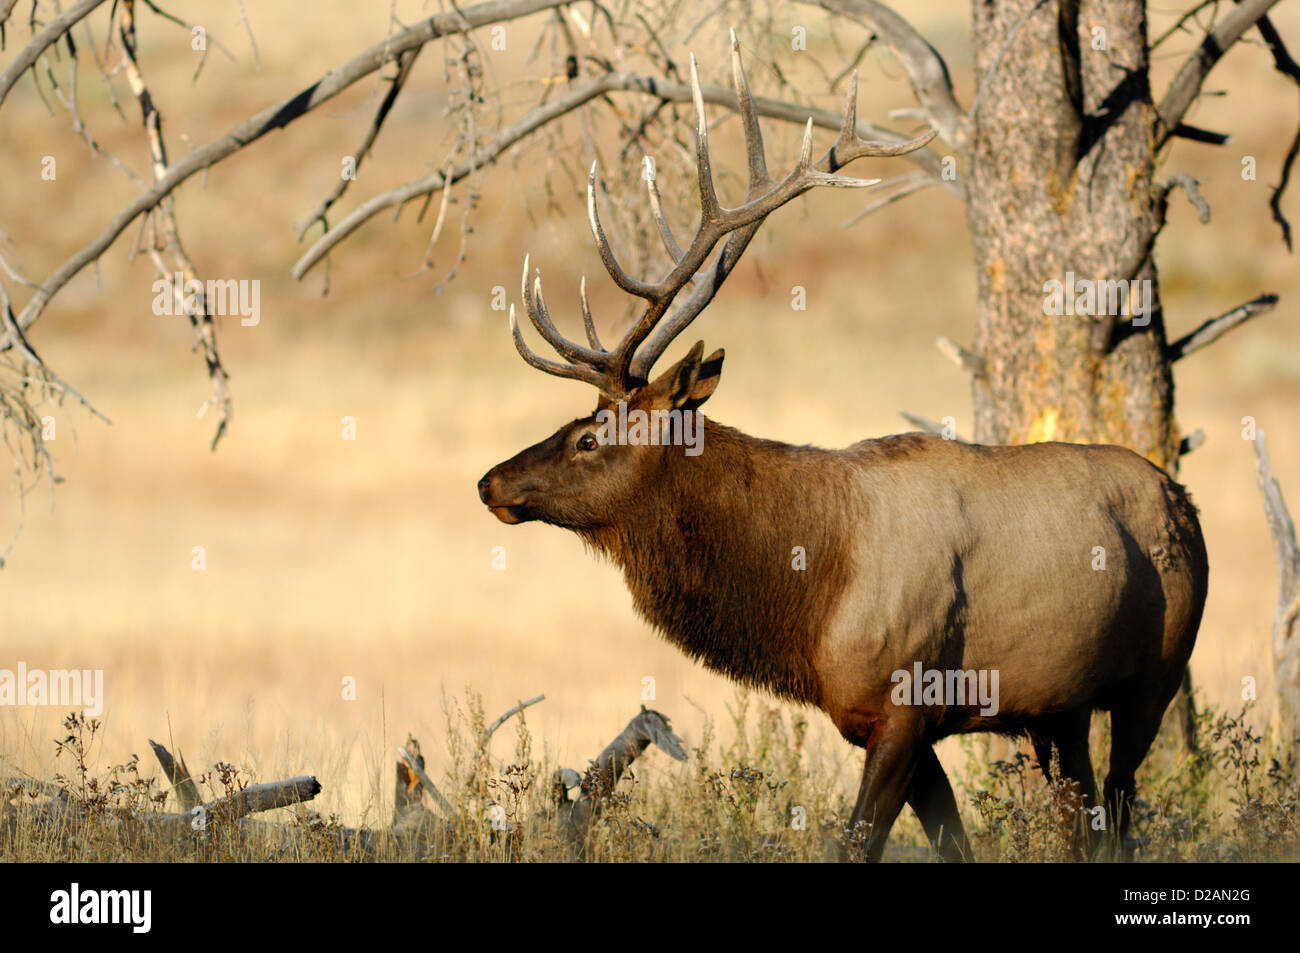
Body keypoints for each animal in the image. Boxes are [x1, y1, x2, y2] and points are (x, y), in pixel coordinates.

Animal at [478, 35, 1206, 863]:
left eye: (589, 436)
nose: (491, 481)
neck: (810, 599)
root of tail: (1185, 500)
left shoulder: (906, 705)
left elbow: (859, 841)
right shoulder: (871, 719)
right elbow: (951, 842)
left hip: (1155, 675)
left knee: (1120, 804)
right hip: (1061, 707)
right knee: (1085, 817)